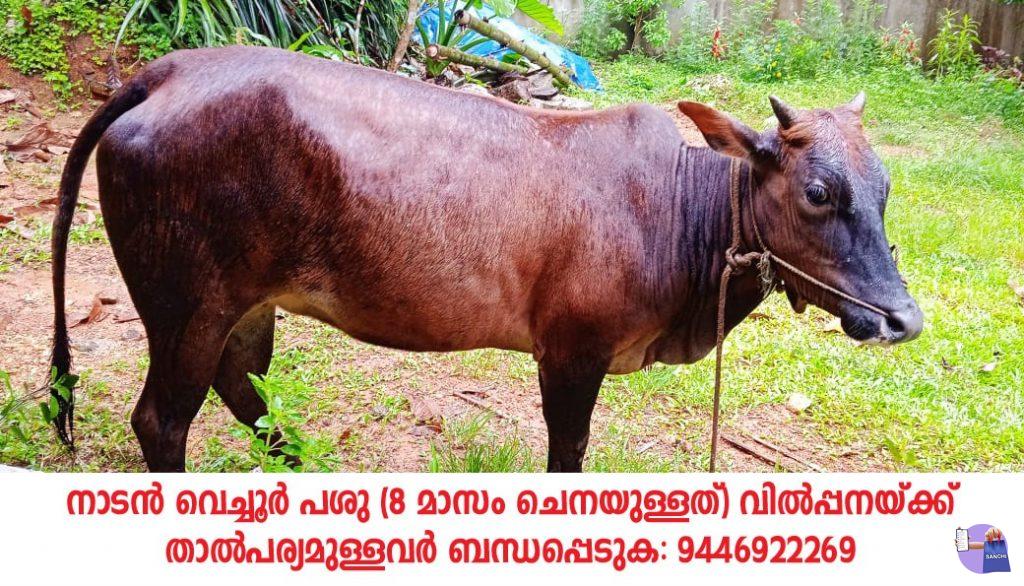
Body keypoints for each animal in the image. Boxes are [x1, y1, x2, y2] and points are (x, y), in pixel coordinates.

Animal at [47, 46, 922, 472]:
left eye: (884, 188)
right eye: (817, 192)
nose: (901, 320)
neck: (682, 211)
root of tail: (164, 73)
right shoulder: (571, 353)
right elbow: (568, 453)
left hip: (248, 307)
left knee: (246, 394)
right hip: (188, 306)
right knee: (161, 421)